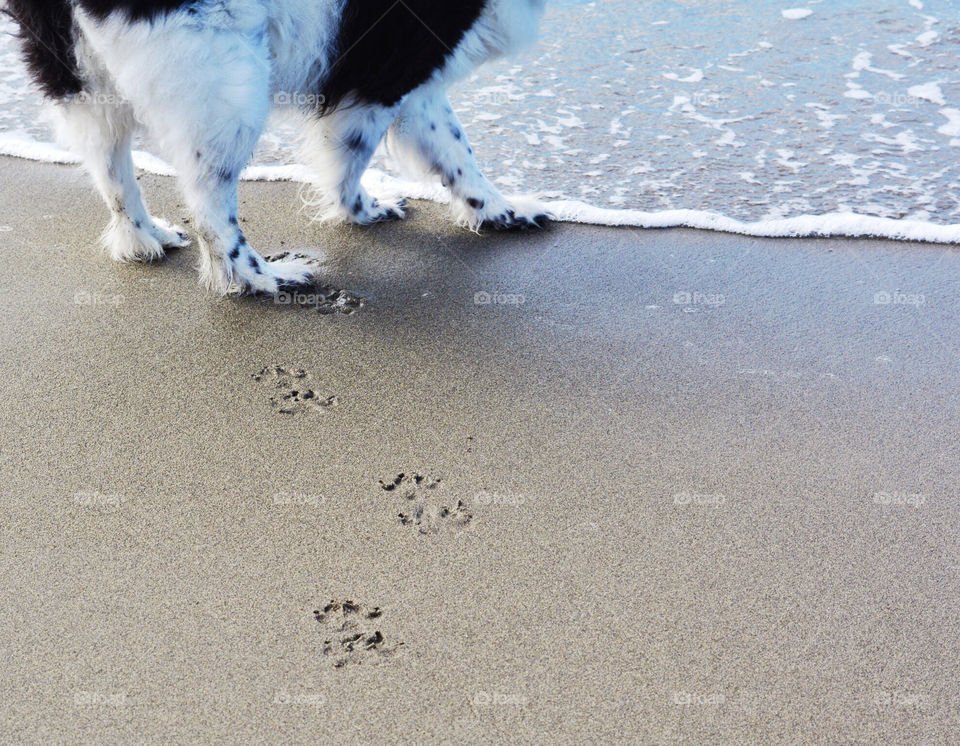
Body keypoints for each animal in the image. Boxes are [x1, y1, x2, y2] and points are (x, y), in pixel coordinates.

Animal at [5, 2, 548, 294]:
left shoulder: (406, 74)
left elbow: (453, 150)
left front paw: (497, 212)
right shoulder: (386, 69)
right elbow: (362, 155)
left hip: (81, 75)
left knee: (113, 172)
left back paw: (143, 238)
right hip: (230, 78)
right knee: (210, 208)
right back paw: (262, 278)